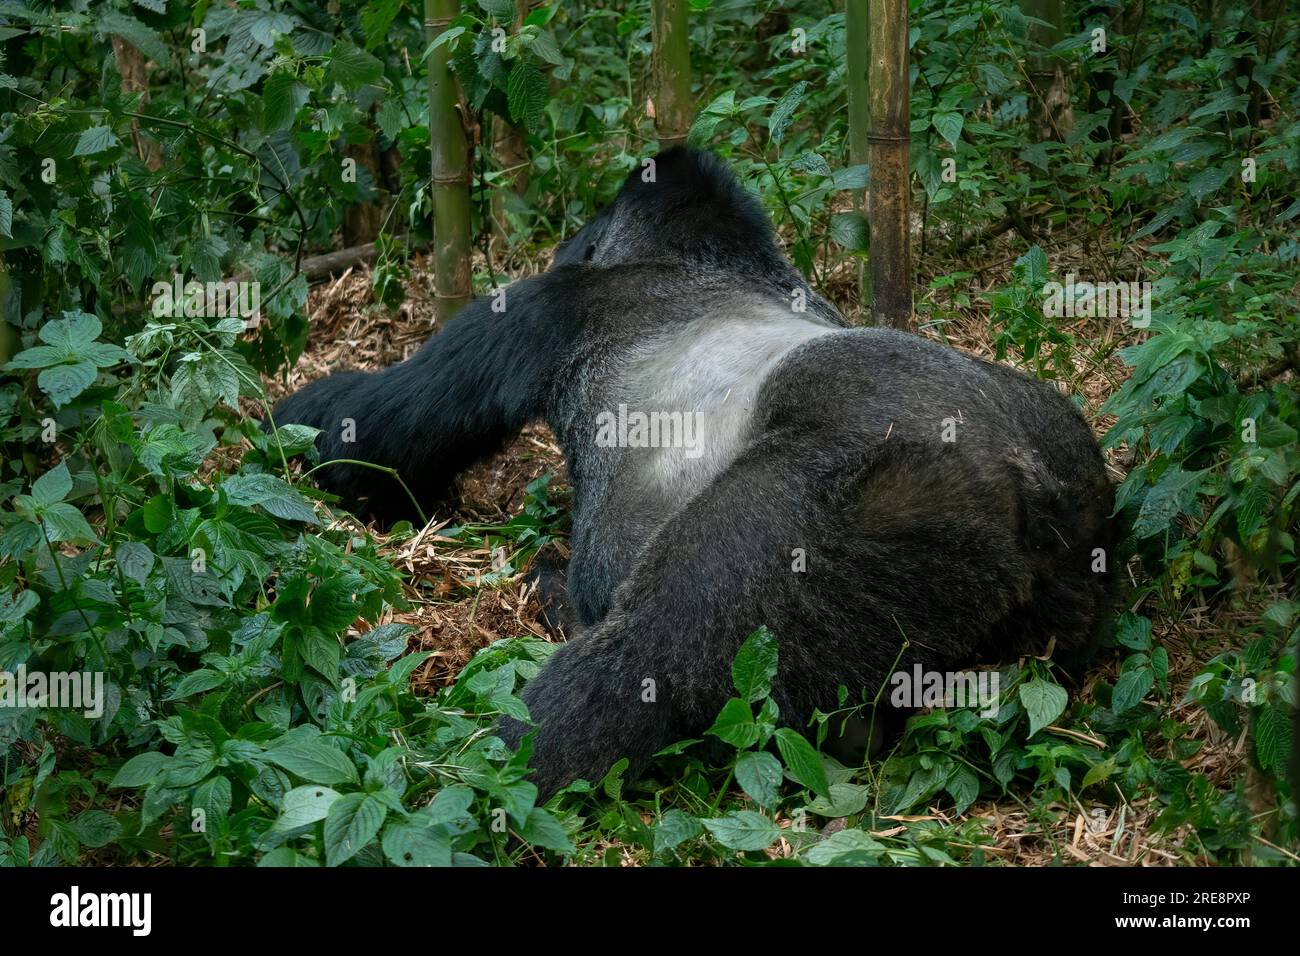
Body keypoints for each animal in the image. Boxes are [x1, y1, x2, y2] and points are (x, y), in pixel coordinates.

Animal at [274, 145, 1118, 796]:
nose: (563, 245)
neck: (703, 260)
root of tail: (1030, 491)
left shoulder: (544, 308)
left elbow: (375, 429)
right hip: (1073, 482)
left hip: (864, 499)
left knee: (637, 663)